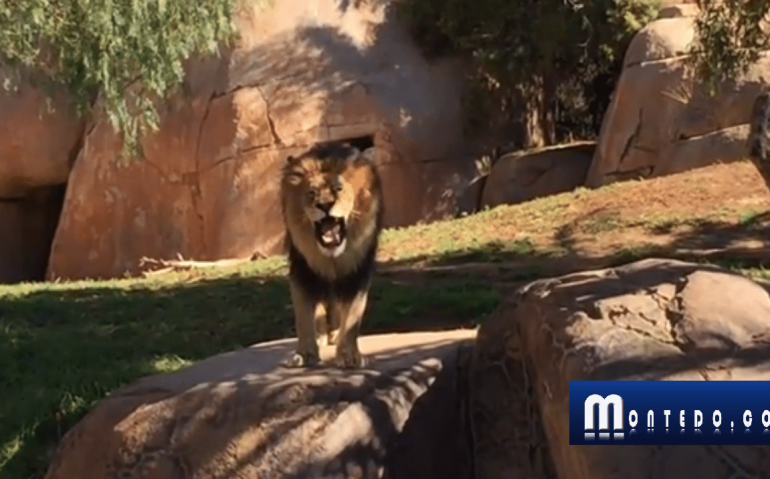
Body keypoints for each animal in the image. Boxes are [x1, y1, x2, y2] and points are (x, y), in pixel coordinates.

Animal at [279, 140, 384, 369]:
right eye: (311, 193)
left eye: (339, 189)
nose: (325, 205)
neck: (331, 256)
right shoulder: (302, 270)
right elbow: (303, 316)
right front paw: (305, 354)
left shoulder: (357, 272)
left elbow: (353, 315)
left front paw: (349, 355)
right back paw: (321, 335)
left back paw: (335, 334)